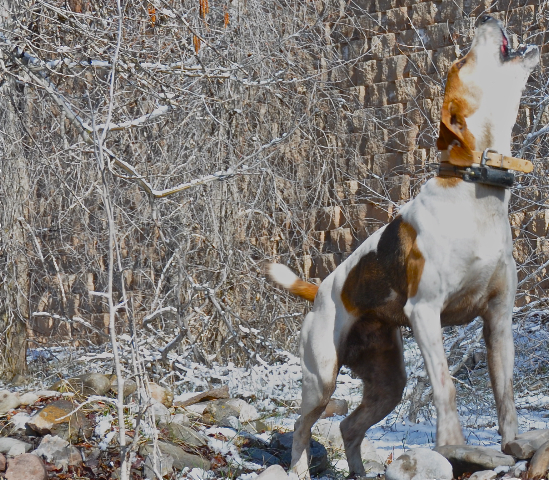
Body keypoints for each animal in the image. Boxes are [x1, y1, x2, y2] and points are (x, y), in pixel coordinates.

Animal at [268, 16, 539, 479]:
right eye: (462, 61)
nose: (486, 17)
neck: (476, 191)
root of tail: (320, 289)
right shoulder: (425, 313)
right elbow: (446, 386)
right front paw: (454, 447)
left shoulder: (499, 318)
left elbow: (505, 394)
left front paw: (513, 445)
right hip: (321, 378)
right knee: (302, 424)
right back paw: (300, 469)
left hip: (387, 383)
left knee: (349, 426)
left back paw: (359, 471)